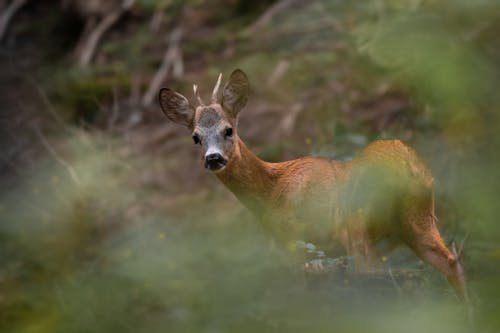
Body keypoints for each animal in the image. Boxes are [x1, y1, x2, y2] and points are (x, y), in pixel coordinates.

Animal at [159, 68, 468, 300]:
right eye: (196, 137)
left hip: (356, 225)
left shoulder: (295, 240)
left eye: (228, 130)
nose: (213, 158)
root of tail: (406, 167)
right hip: (418, 220)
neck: (272, 191)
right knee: (451, 263)